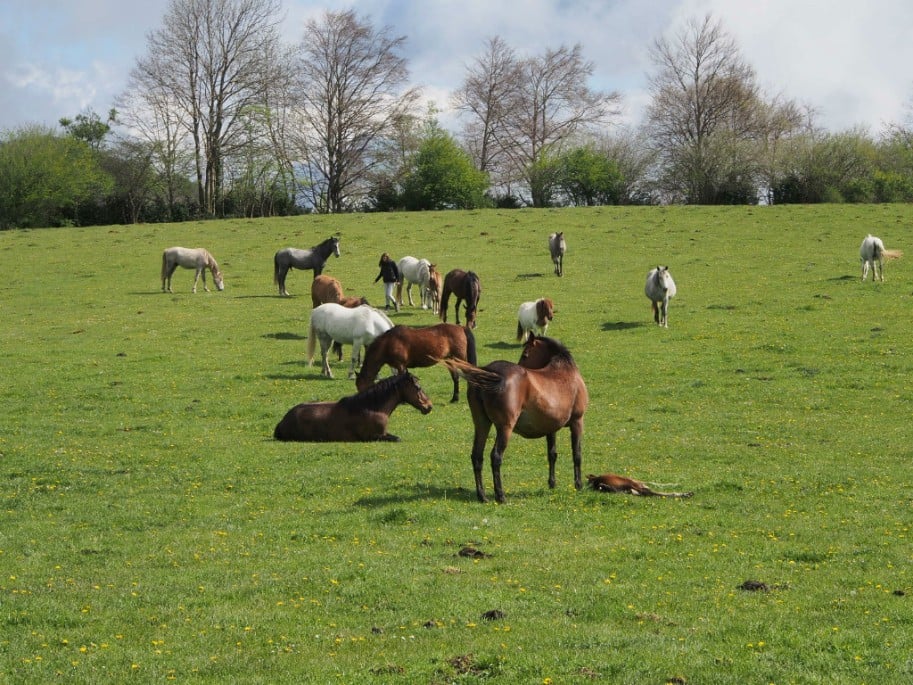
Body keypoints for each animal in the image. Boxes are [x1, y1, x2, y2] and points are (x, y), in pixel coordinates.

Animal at [273, 372, 432, 442]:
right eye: (418, 388)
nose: (429, 406)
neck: (372, 408)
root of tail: (282, 421)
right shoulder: (373, 437)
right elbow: (398, 438)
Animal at [441, 334, 589, 503]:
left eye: (525, 355)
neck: (564, 371)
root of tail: (490, 372)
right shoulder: (577, 422)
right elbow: (577, 454)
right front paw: (578, 484)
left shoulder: (551, 428)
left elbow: (552, 454)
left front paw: (552, 483)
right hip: (505, 428)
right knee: (496, 457)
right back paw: (500, 496)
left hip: (482, 424)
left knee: (477, 456)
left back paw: (482, 496)